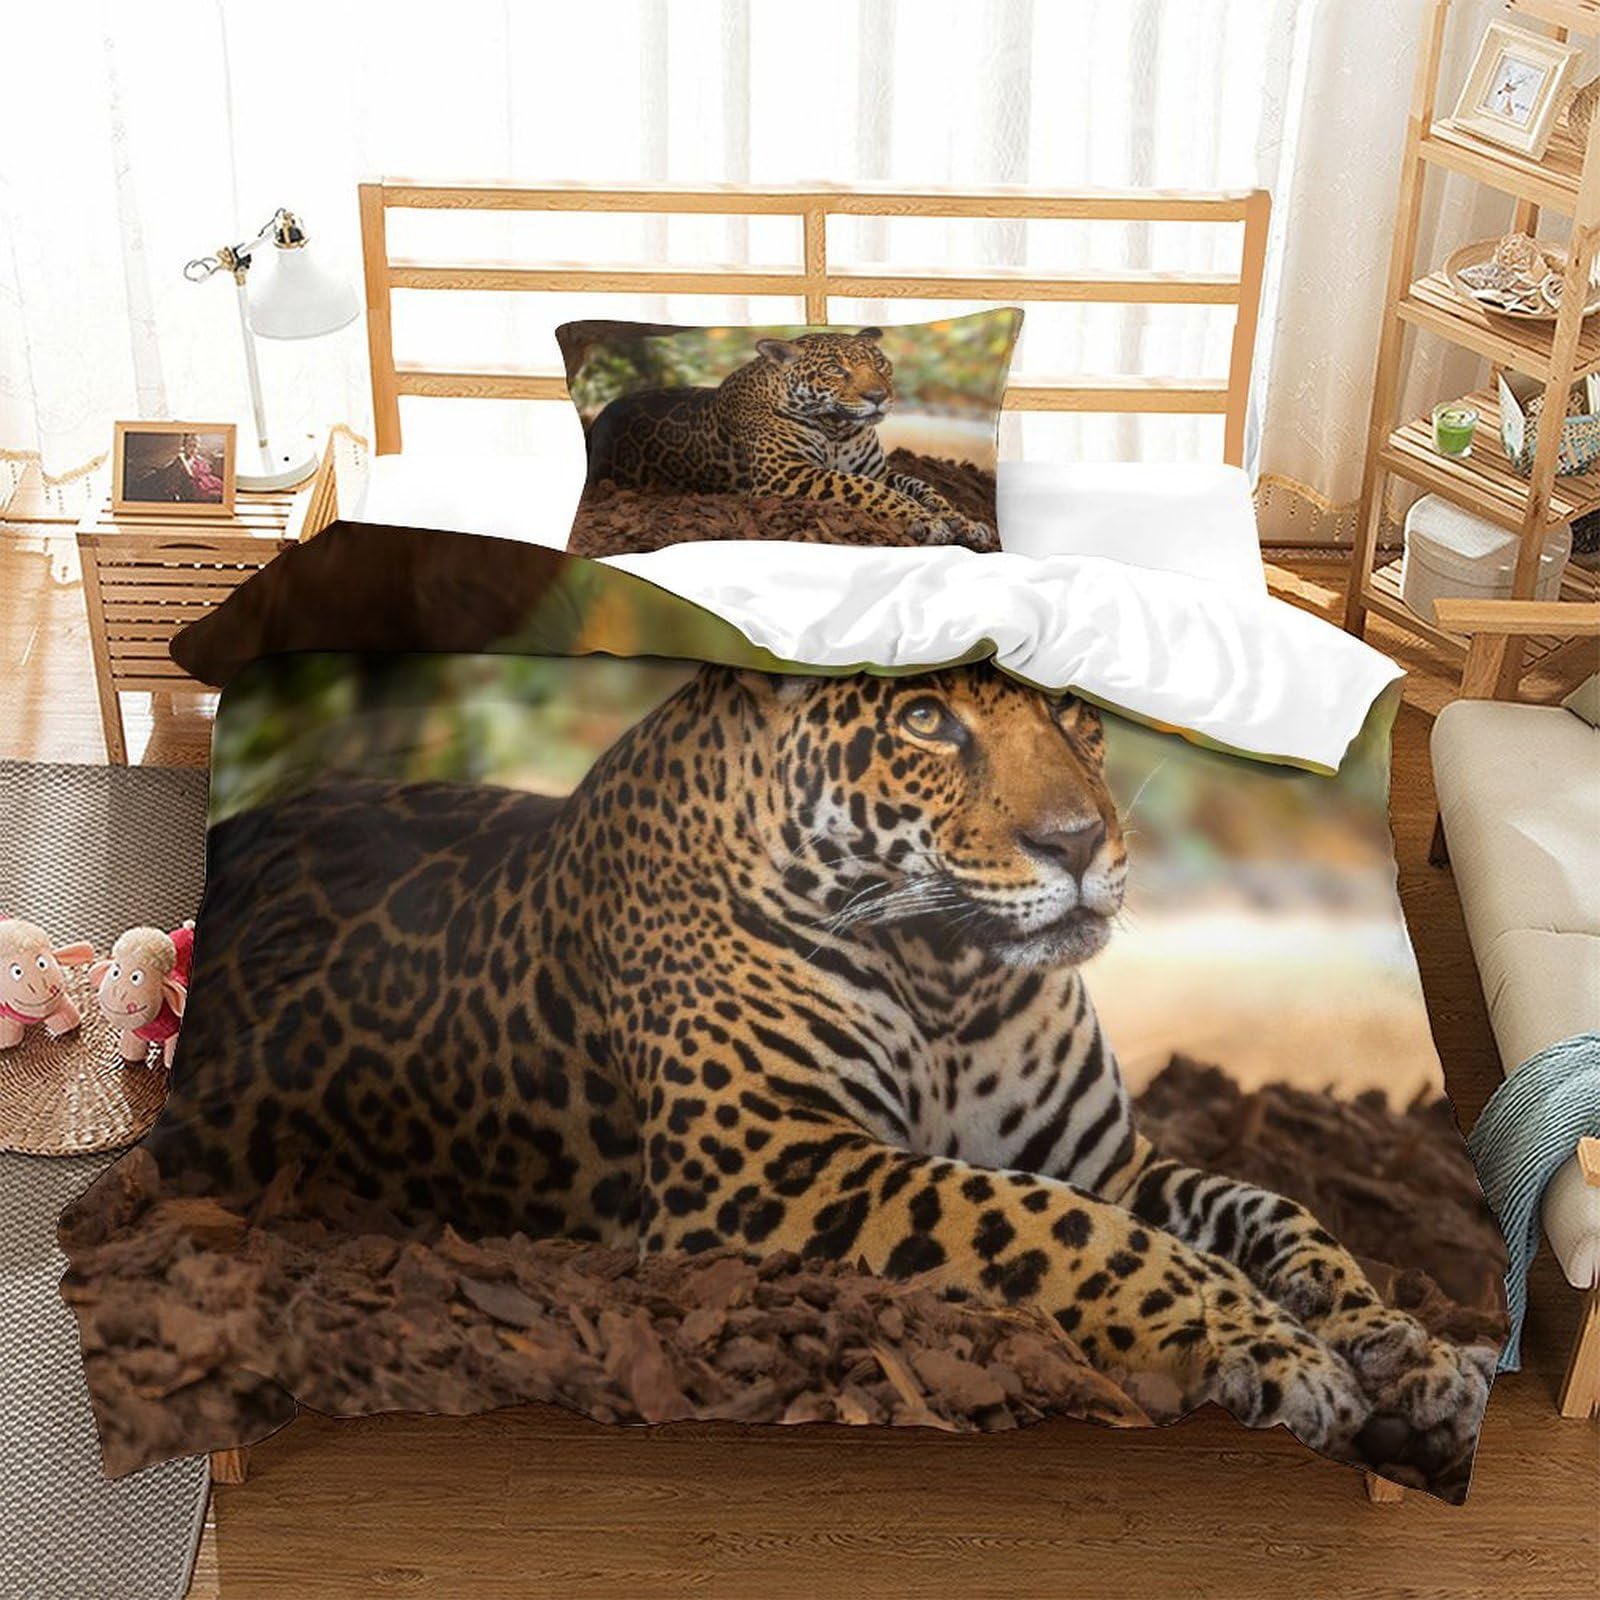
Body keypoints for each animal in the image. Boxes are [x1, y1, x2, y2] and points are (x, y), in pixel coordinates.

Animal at [154, 663, 1494, 1490]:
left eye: (1074, 709)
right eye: (925, 722)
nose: (1079, 846)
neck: (950, 975)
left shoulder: (1108, 1157)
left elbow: (1277, 1211)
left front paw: (1407, 1347)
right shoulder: (775, 1166)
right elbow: (1056, 1228)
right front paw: (1274, 1353)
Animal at [577, 327, 998, 550]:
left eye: (880, 364)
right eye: (836, 370)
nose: (878, 396)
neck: (837, 428)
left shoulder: (878, 470)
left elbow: (925, 487)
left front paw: (964, 521)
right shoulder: (788, 473)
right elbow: (868, 490)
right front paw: (926, 522)